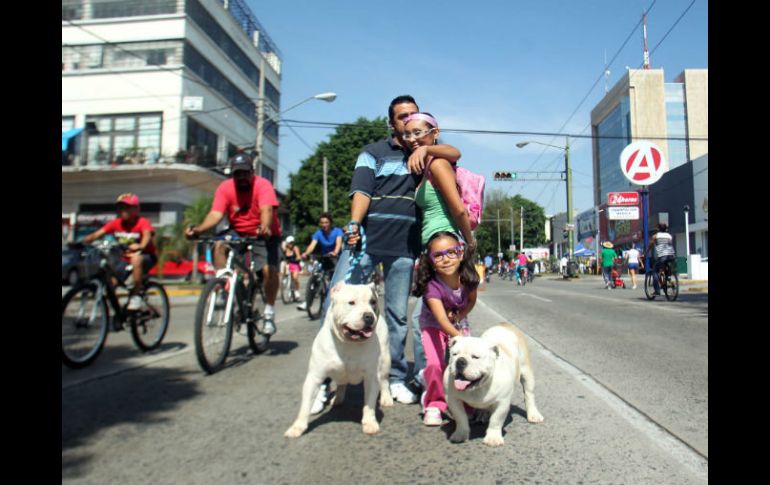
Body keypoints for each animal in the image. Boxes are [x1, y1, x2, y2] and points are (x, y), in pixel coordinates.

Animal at [282, 278, 390, 436]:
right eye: (351, 302)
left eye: (373, 302)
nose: (369, 316)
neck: (347, 343)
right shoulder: (314, 377)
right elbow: (305, 406)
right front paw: (298, 427)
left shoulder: (371, 377)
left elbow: (369, 404)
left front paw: (370, 422)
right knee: (341, 384)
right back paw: (337, 399)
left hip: (385, 361)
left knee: (384, 380)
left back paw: (387, 398)